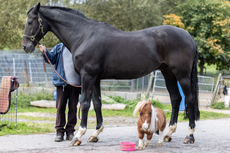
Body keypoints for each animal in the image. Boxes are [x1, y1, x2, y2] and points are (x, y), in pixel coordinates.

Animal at [22, 2, 200, 145]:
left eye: (30, 21)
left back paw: (190, 136)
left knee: (189, 99)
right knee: (176, 99)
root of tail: (189, 37)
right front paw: (95, 134)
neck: (84, 35)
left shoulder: (88, 76)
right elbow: (97, 104)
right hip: (168, 73)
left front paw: (78, 136)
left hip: (182, 75)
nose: (26, 46)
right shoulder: (95, 79)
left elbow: (85, 104)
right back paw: (168, 134)